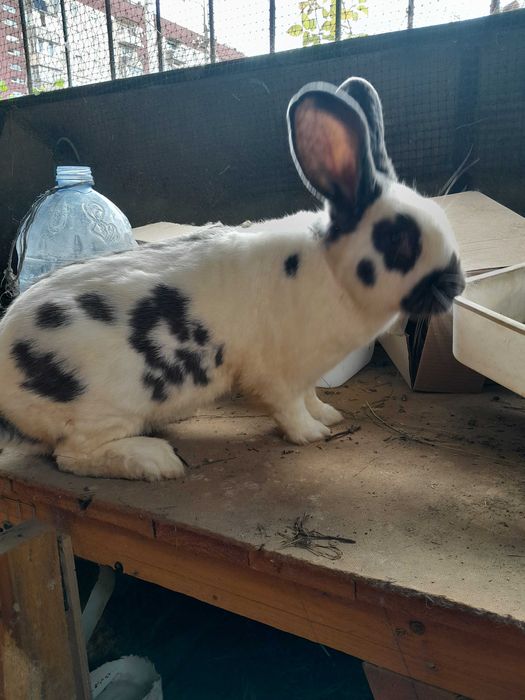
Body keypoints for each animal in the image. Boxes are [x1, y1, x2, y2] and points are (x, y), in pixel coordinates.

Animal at [0, 77, 465, 481]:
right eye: (399, 240)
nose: (456, 286)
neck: (331, 271)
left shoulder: (306, 375)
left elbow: (312, 396)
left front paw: (328, 415)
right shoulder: (278, 375)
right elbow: (289, 408)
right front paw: (313, 434)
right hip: (107, 405)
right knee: (72, 455)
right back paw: (156, 461)